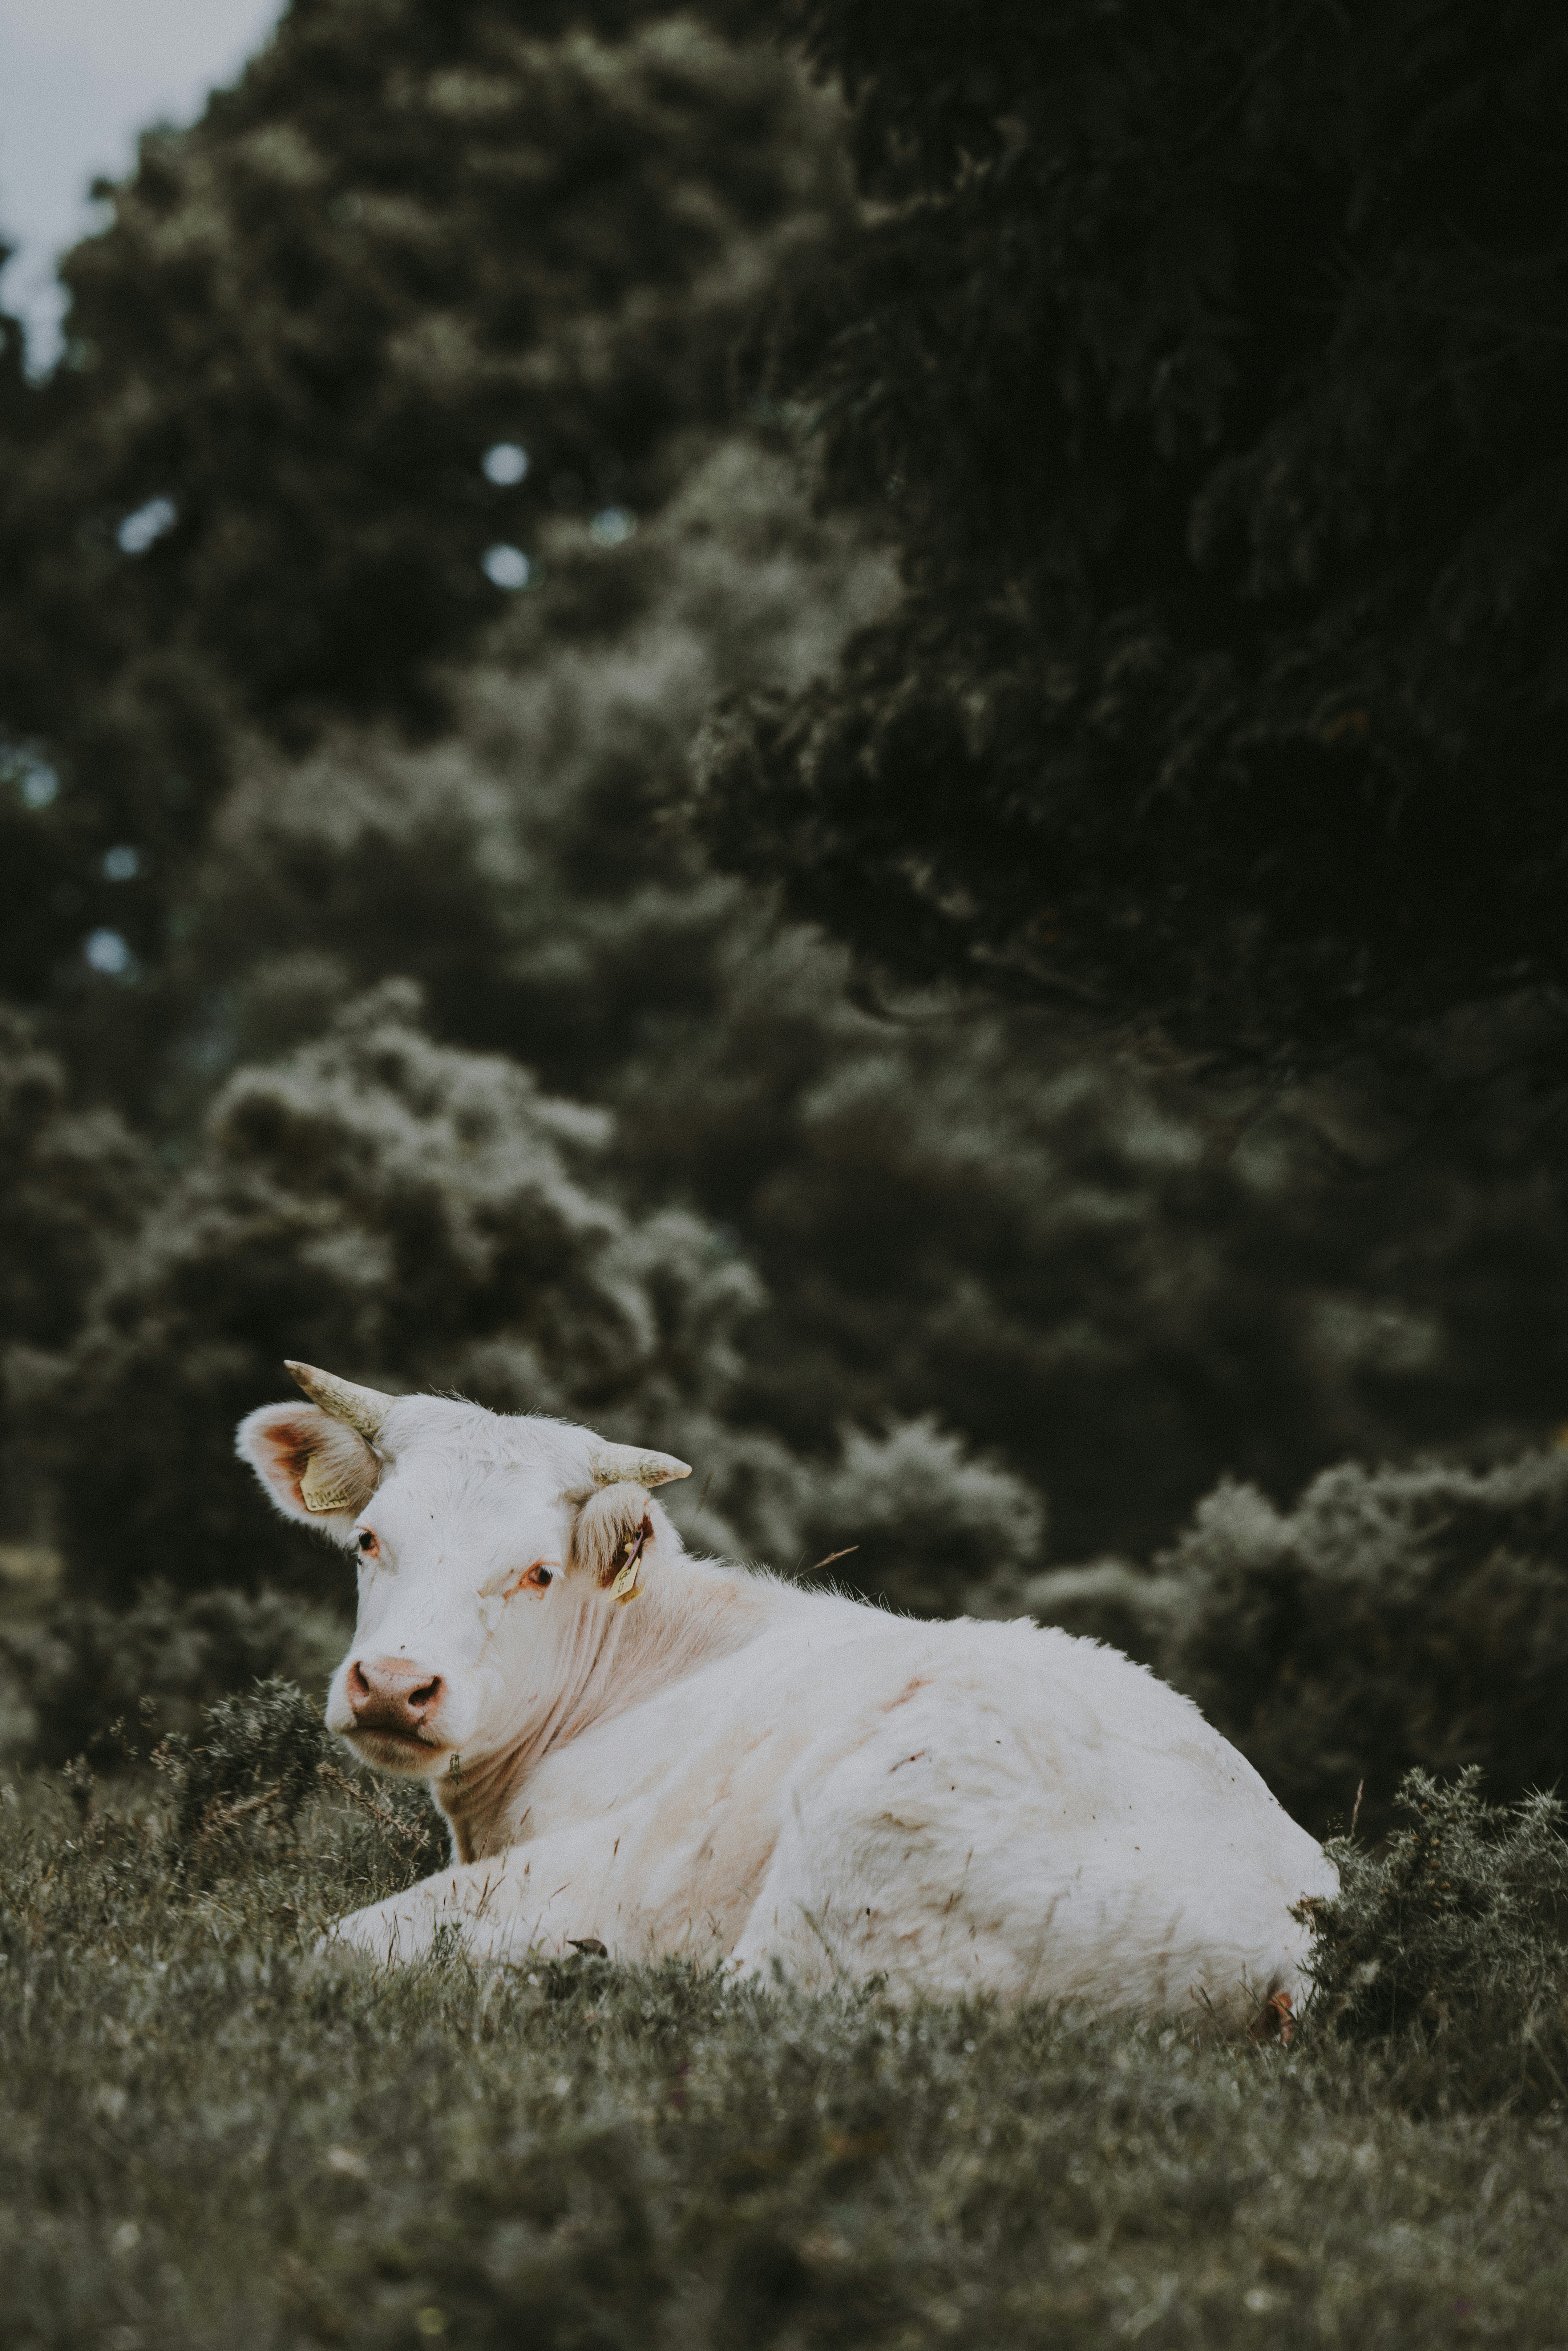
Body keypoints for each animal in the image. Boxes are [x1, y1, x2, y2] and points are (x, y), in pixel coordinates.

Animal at [238, 1362, 1335, 2025]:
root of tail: (1297, 1939)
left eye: (538, 1571)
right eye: (369, 1539)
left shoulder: (606, 1861)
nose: (394, 1686)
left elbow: (348, 1942)